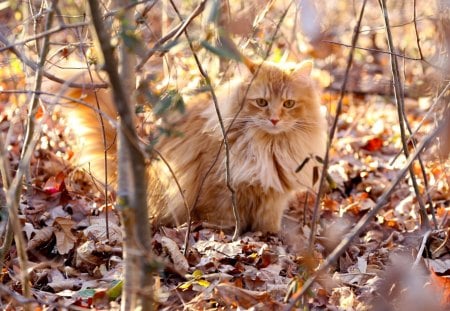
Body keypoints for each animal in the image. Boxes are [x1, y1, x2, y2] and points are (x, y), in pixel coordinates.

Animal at [44, 58, 326, 234]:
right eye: (262, 102)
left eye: (288, 104)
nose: (275, 119)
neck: (269, 145)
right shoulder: (221, 189)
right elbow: (223, 218)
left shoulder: (273, 196)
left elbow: (268, 222)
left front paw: (269, 236)